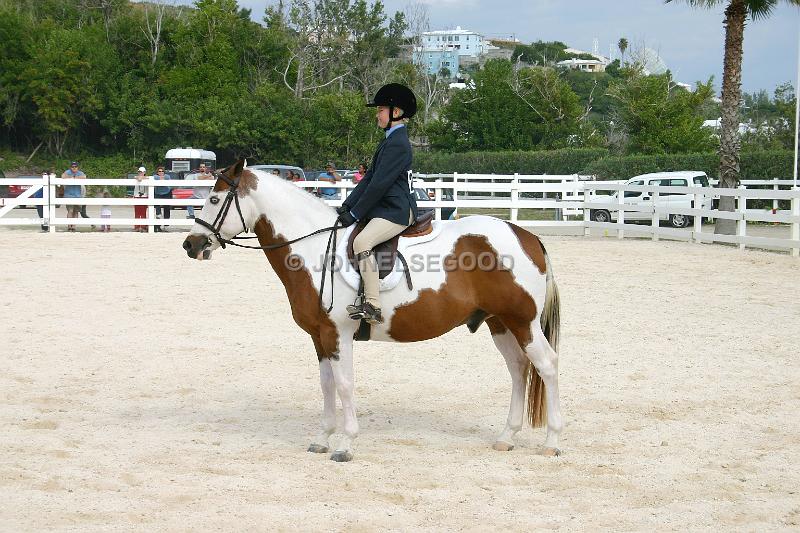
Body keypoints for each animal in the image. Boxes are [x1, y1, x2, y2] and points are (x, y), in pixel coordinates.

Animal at [182, 159, 564, 462]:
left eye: (214, 198)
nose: (191, 244)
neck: (314, 248)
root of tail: (525, 235)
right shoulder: (319, 337)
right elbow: (326, 384)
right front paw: (322, 438)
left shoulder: (338, 333)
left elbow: (345, 384)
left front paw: (345, 444)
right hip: (500, 323)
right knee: (518, 369)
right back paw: (507, 437)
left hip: (523, 322)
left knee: (546, 365)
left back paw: (552, 441)